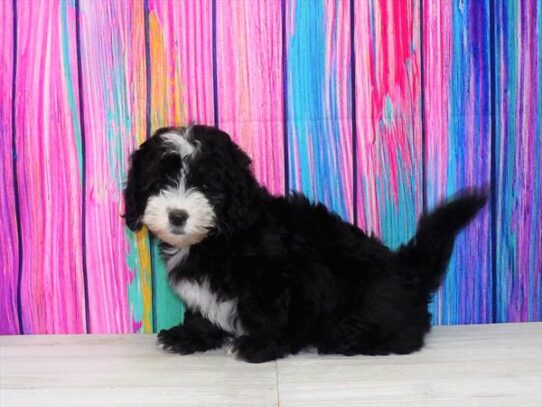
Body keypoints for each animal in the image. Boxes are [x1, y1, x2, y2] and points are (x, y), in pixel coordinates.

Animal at [124, 125, 488, 364]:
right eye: (159, 184)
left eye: (207, 187)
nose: (177, 215)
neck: (218, 236)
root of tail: (408, 273)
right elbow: (201, 313)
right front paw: (189, 336)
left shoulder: (271, 277)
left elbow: (268, 313)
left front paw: (259, 346)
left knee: (404, 337)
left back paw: (346, 337)